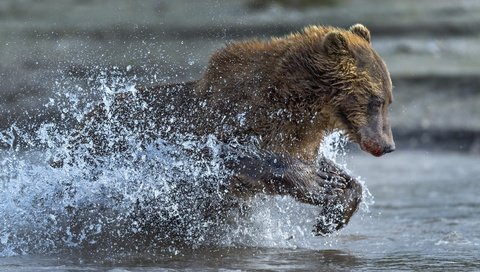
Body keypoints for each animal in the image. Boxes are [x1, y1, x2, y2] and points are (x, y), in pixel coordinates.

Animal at [55, 23, 394, 236]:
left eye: (389, 99)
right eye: (375, 99)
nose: (388, 145)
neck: (298, 105)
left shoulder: (297, 137)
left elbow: (328, 168)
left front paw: (334, 207)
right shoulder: (228, 122)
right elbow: (231, 159)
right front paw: (320, 185)